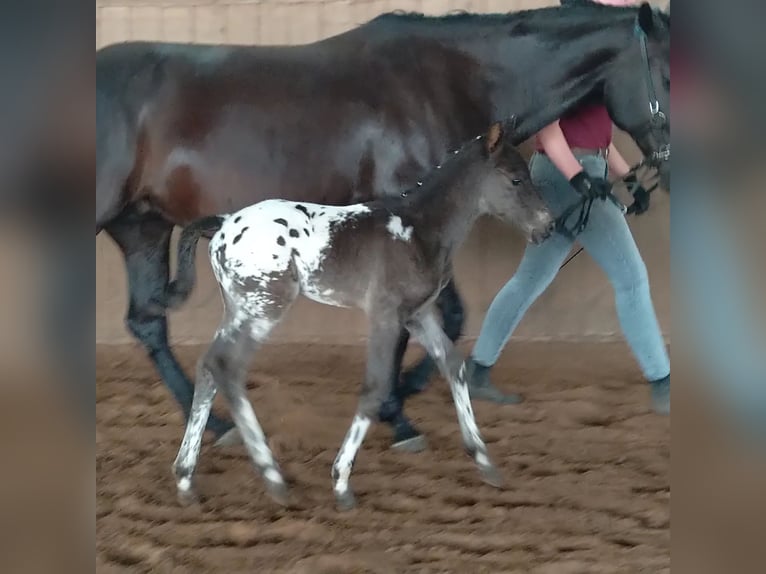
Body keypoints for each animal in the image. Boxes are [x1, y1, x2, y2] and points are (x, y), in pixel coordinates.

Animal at [97, 3, 672, 450]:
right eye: (669, 76)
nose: (669, 168)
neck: (448, 82)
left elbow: (437, 319)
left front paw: (401, 402)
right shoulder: (411, 222)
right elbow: (434, 317)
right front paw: (400, 411)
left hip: (143, 227)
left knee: (147, 322)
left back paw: (217, 427)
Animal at [168, 120, 556, 508]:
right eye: (516, 179)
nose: (548, 226)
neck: (417, 229)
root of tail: (224, 224)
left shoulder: (418, 314)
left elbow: (453, 365)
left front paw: (485, 461)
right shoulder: (386, 314)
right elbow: (375, 386)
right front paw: (341, 482)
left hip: (240, 308)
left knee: (208, 369)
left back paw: (186, 479)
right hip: (265, 307)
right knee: (226, 367)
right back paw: (272, 477)